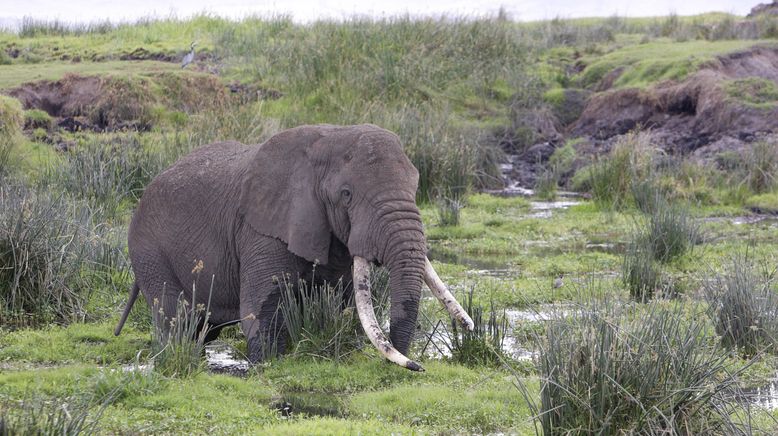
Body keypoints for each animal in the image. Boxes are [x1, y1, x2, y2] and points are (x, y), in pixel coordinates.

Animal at [111, 123, 470, 372]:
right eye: (346, 195)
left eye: (416, 185)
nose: (416, 366)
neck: (328, 139)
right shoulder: (261, 231)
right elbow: (263, 309)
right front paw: (266, 364)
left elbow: (341, 303)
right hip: (148, 250)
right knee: (178, 321)